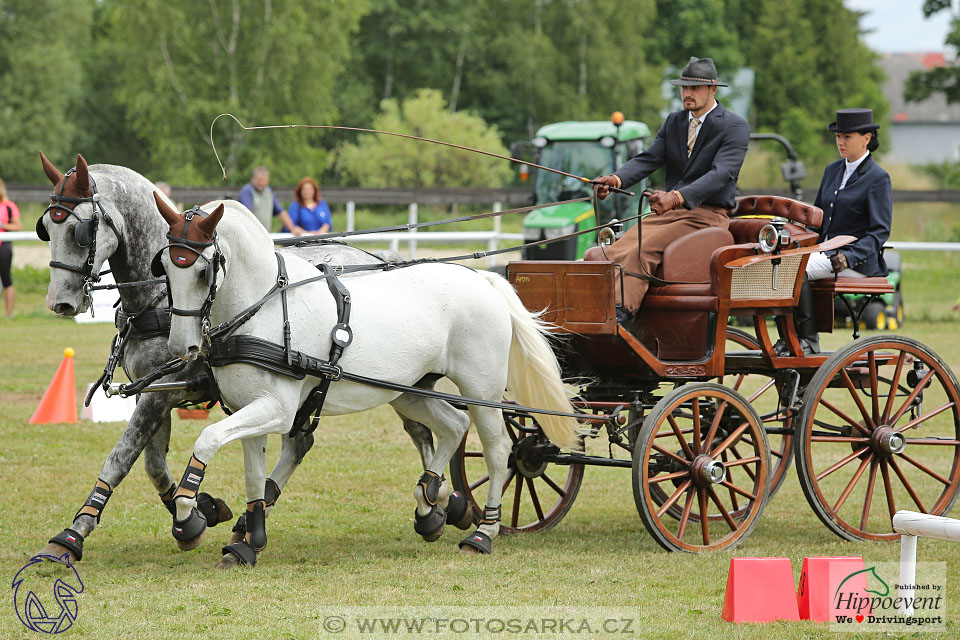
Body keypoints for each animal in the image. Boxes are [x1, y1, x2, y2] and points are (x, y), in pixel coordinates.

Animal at [154, 196, 580, 564]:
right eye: (166, 269)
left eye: (203, 271)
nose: (180, 346)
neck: (266, 307)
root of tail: (482, 280)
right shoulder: (250, 408)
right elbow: (254, 476)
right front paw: (246, 542)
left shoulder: (278, 408)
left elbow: (207, 439)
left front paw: (189, 516)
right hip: (407, 391)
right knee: (453, 424)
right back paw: (428, 502)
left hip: (482, 389)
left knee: (496, 449)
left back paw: (484, 531)